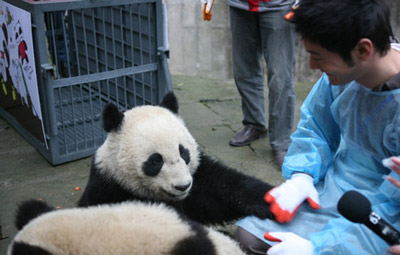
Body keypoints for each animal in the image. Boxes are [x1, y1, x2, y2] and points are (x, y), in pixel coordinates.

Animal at [77, 92, 276, 224]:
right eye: (156, 160)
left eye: (183, 152)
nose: (183, 186)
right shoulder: (108, 189)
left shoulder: (199, 178)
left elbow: (225, 188)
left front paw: (273, 201)